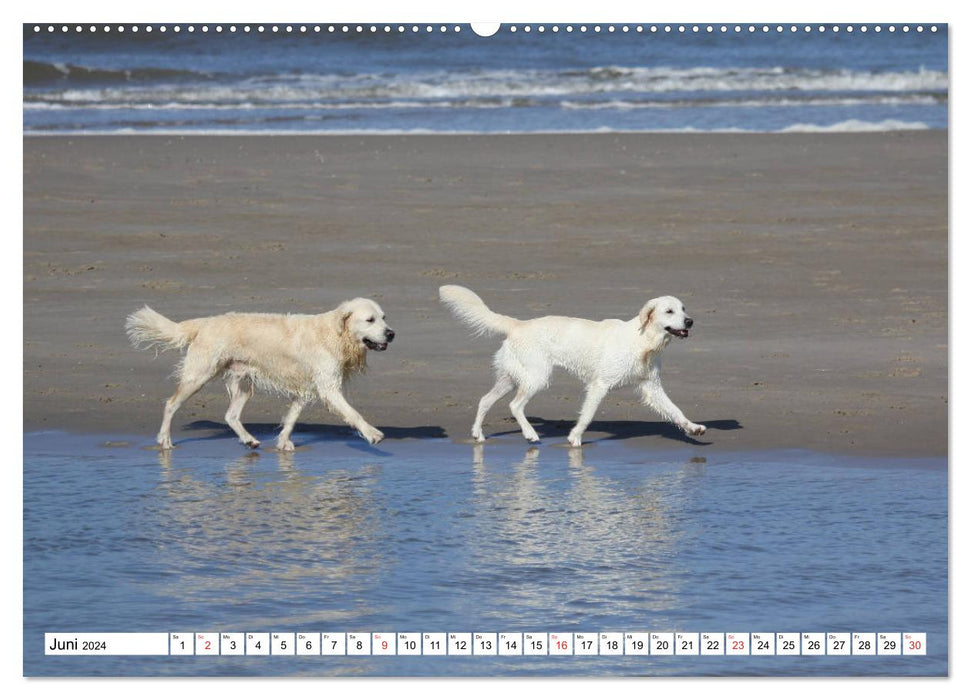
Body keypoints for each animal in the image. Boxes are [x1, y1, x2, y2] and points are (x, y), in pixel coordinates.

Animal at [126, 298, 394, 452]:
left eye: (383, 317)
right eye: (369, 320)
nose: (391, 334)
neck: (336, 334)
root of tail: (204, 323)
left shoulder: (306, 387)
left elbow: (291, 417)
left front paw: (283, 442)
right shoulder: (328, 387)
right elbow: (354, 413)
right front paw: (372, 434)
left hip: (243, 383)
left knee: (231, 415)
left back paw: (249, 440)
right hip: (199, 375)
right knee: (171, 404)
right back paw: (164, 440)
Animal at [440, 286, 708, 446]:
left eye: (683, 309)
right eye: (669, 311)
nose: (690, 321)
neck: (643, 341)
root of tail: (518, 324)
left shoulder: (652, 387)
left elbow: (675, 411)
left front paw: (693, 428)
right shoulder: (599, 385)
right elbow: (587, 415)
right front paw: (575, 437)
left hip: (511, 377)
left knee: (485, 400)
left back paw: (478, 434)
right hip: (537, 377)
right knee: (515, 405)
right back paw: (531, 434)